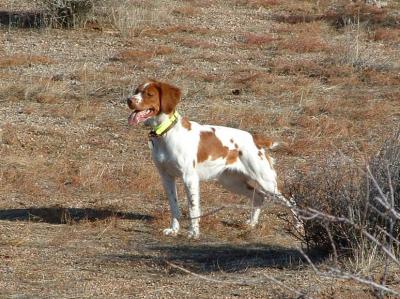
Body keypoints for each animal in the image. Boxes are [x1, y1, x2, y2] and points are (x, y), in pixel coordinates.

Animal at [126, 79, 298, 239]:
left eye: (149, 94)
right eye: (136, 91)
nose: (129, 100)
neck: (167, 133)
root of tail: (256, 139)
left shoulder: (189, 178)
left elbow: (193, 208)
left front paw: (193, 233)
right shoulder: (166, 177)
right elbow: (174, 206)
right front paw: (174, 230)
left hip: (266, 182)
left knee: (291, 201)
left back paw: (298, 225)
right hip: (231, 182)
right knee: (259, 197)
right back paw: (251, 223)